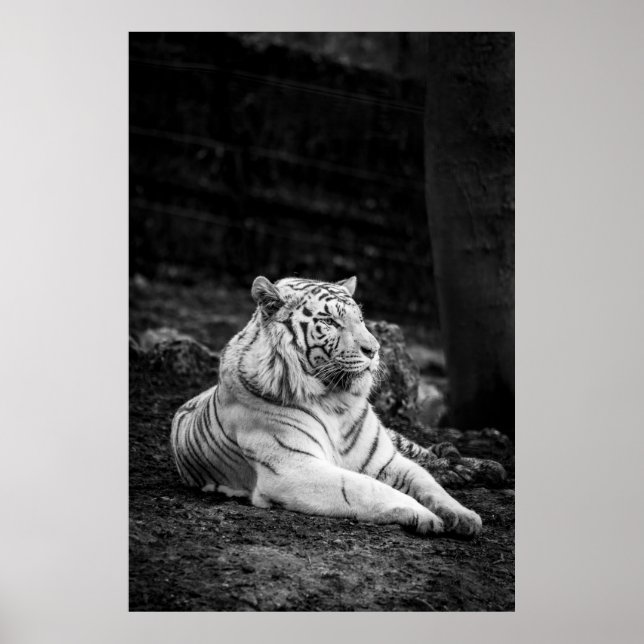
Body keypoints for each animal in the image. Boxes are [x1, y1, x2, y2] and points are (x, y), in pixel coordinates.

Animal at [170, 275, 482, 536]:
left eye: (361, 319)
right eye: (331, 322)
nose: (374, 350)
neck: (336, 401)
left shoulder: (384, 459)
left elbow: (426, 481)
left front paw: (463, 515)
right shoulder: (293, 468)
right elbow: (366, 487)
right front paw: (426, 516)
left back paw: (466, 468)